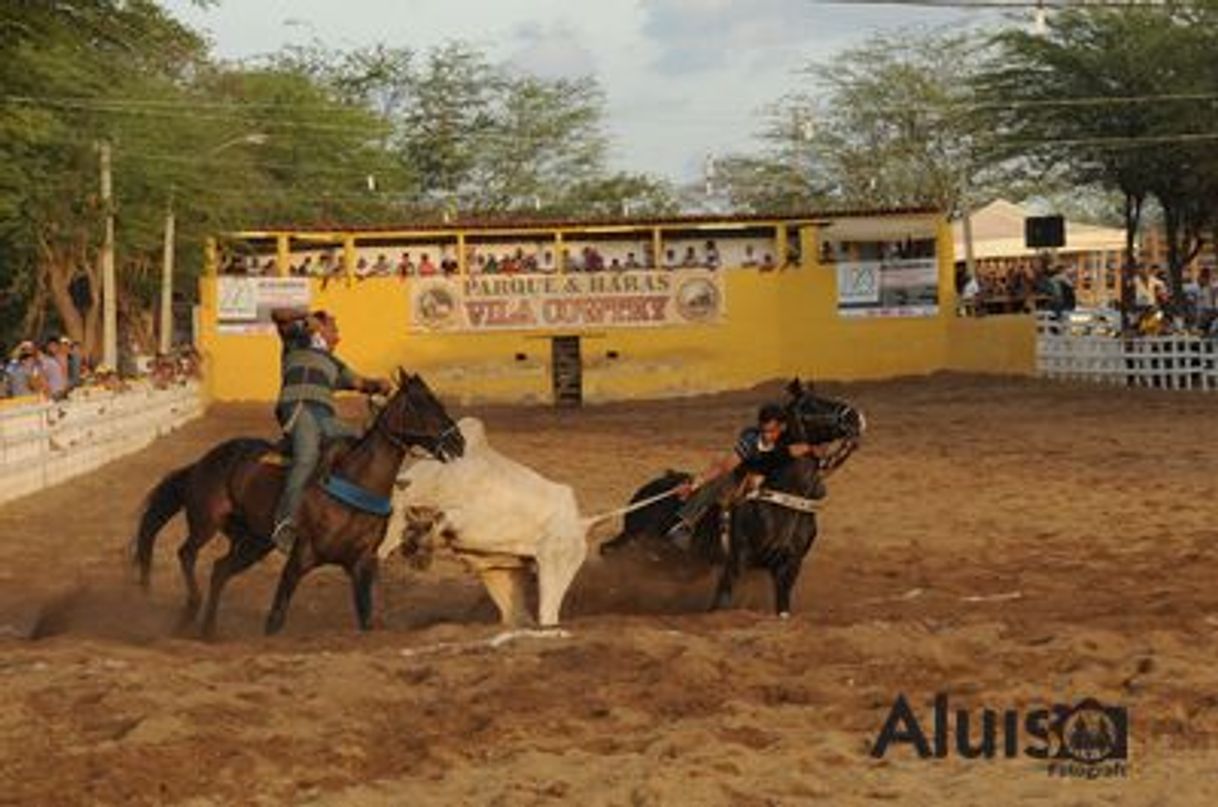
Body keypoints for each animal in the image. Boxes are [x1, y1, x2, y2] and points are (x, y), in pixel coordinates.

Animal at [133, 370, 462, 642]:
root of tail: (203, 462)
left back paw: (208, 630)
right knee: (187, 554)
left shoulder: (362, 564)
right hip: (206, 522)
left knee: (219, 570)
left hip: (253, 542)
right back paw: (191, 608)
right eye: (422, 402)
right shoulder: (301, 556)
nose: (458, 442)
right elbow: (276, 617)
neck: (354, 482)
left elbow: (366, 618)